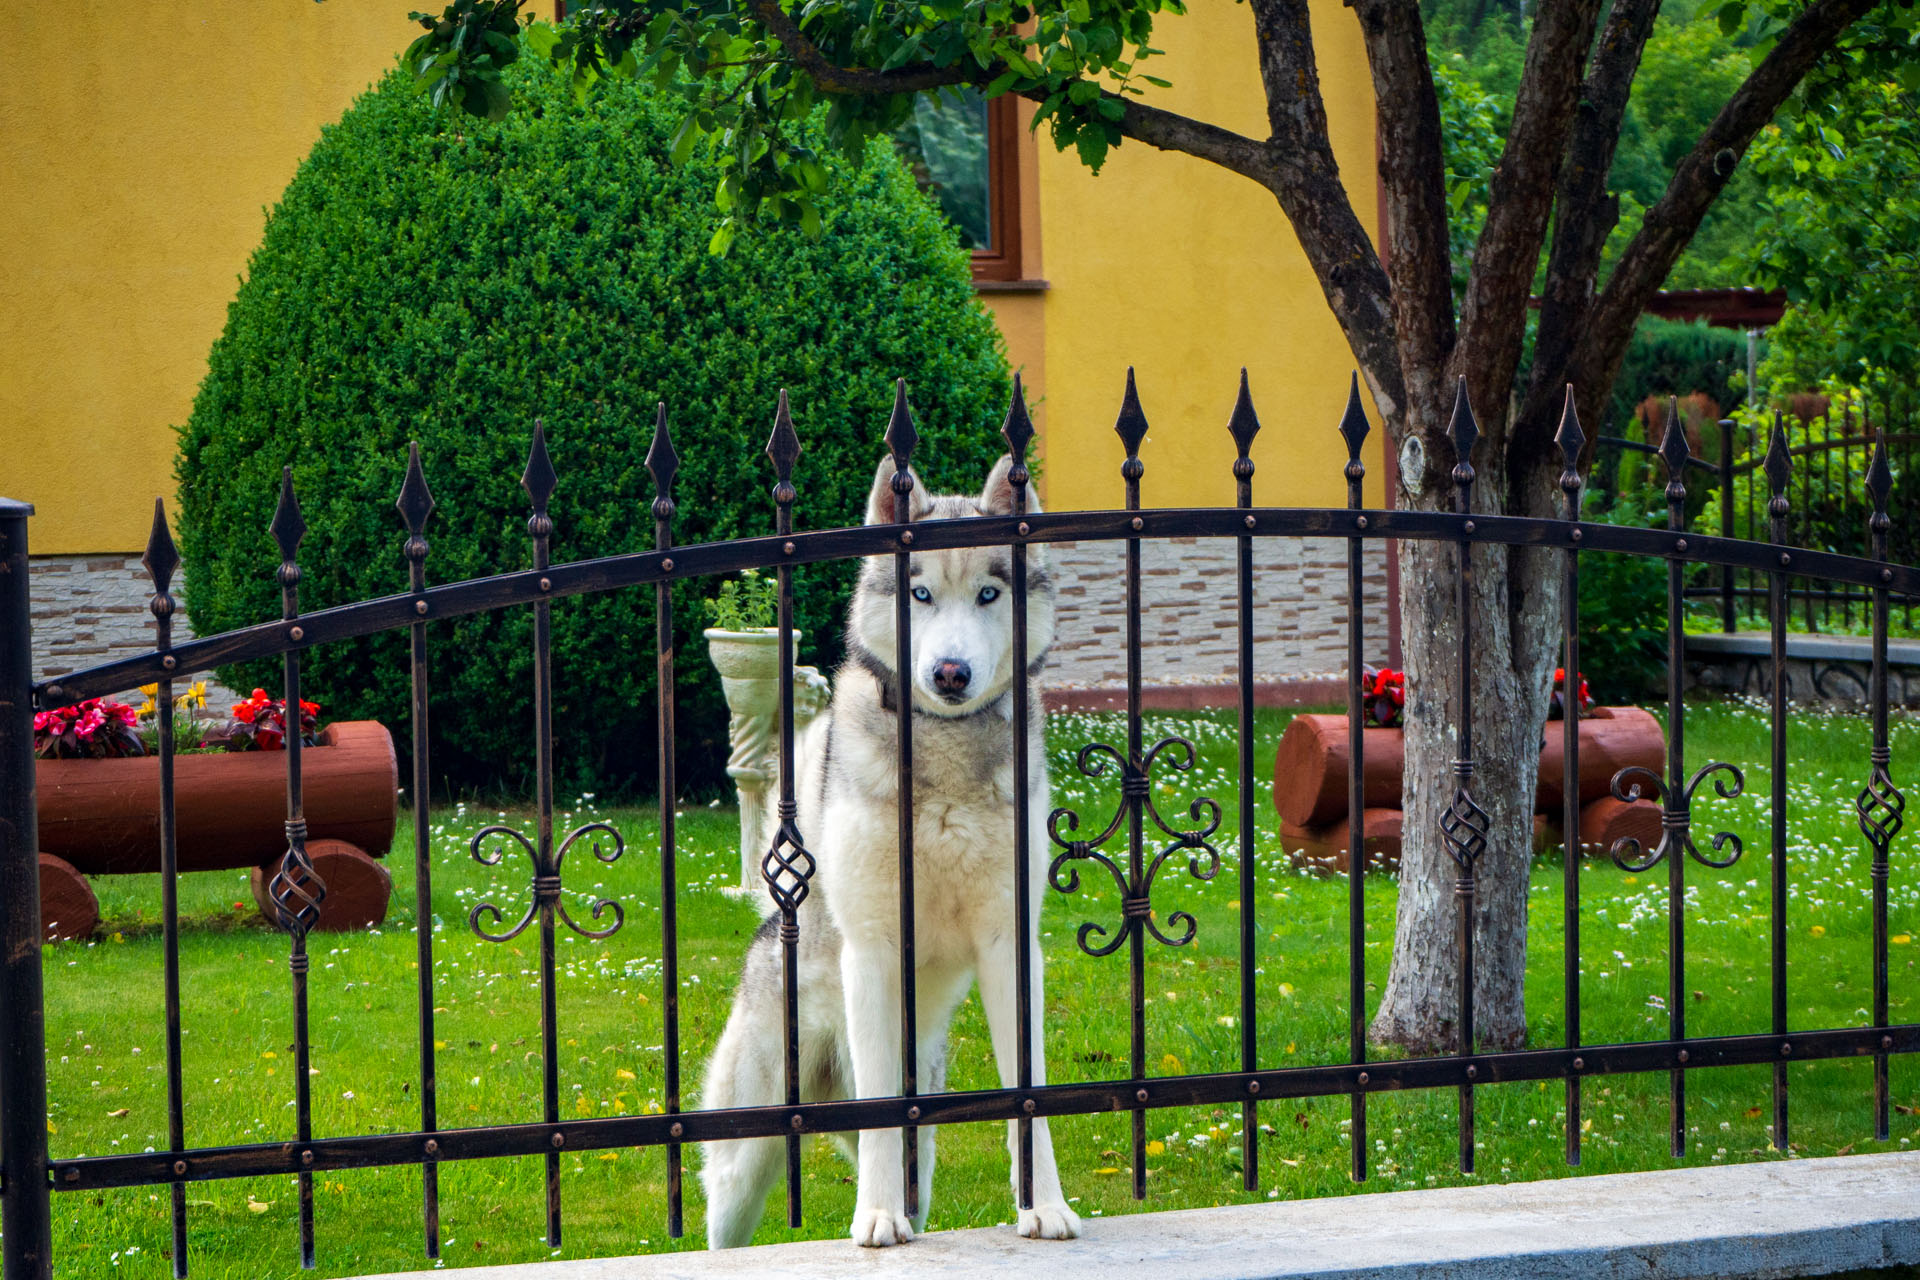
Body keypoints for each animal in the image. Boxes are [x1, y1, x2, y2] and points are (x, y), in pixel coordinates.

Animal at [698, 452, 1082, 1251]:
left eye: (989, 593)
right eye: (920, 592)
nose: (949, 673)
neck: (942, 751)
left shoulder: (1010, 945)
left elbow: (1027, 1094)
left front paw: (1045, 1206)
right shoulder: (874, 947)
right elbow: (879, 1105)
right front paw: (875, 1216)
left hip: (923, 1155)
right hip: (742, 1165)